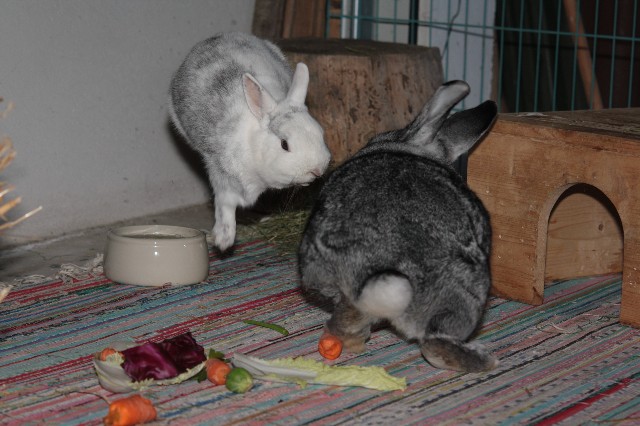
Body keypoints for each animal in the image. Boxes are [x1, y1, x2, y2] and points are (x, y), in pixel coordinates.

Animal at [169, 33, 330, 253]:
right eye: (284, 144)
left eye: (320, 133)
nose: (317, 170)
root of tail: (217, 37)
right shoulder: (222, 176)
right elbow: (226, 206)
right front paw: (223, 240)